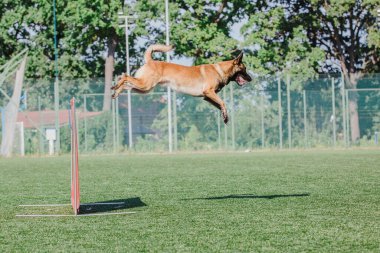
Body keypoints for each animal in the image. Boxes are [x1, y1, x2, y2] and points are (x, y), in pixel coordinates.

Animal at [111, 44, 251, 123]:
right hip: (145, 85)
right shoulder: (209, 92)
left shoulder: (207, 97)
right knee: (125, 76)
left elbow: (220, 105)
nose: (251, 79)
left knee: (126, 84)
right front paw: (225, 116)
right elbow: (223, 103)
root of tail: (150, 61)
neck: (220, 70)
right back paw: (115, 85)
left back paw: (116, 92)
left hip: (144, 88)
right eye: (244, 69)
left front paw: (224, 116)